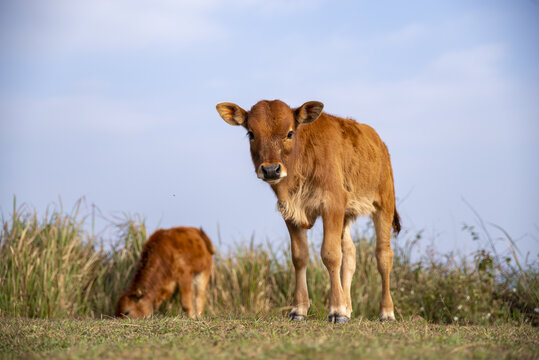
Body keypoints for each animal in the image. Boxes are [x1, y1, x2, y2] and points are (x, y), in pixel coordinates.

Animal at [216, 99, 400, 324]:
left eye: (290, 133)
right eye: (251, 133)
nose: (271, 170)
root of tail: (379, 143)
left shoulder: (332, 205)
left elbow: (331, 254)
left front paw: (337, 310)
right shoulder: (291, 213)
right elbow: (300, 257)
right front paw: (299, 308)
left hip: (384, 204)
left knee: (383, 255)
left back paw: (386, 311)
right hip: (347, 215)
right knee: (350, 253)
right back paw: (349, 307)